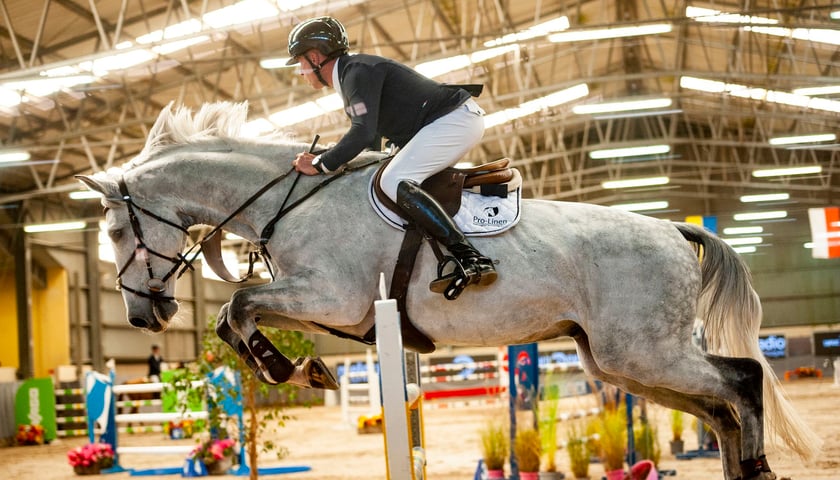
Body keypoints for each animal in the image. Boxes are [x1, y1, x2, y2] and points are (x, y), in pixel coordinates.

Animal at [80, 102, 820, 480]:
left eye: (115, 230)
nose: (144, 316)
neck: (290, 199)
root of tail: (673, 230)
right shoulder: (332, 311)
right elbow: (232, 318)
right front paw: (303, 368)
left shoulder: (328, 297)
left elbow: (237, 307)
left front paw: (293, 370)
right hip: (619, 361)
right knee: (719, 408)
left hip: (645, 351)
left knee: (741, 382)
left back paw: (759, 467)